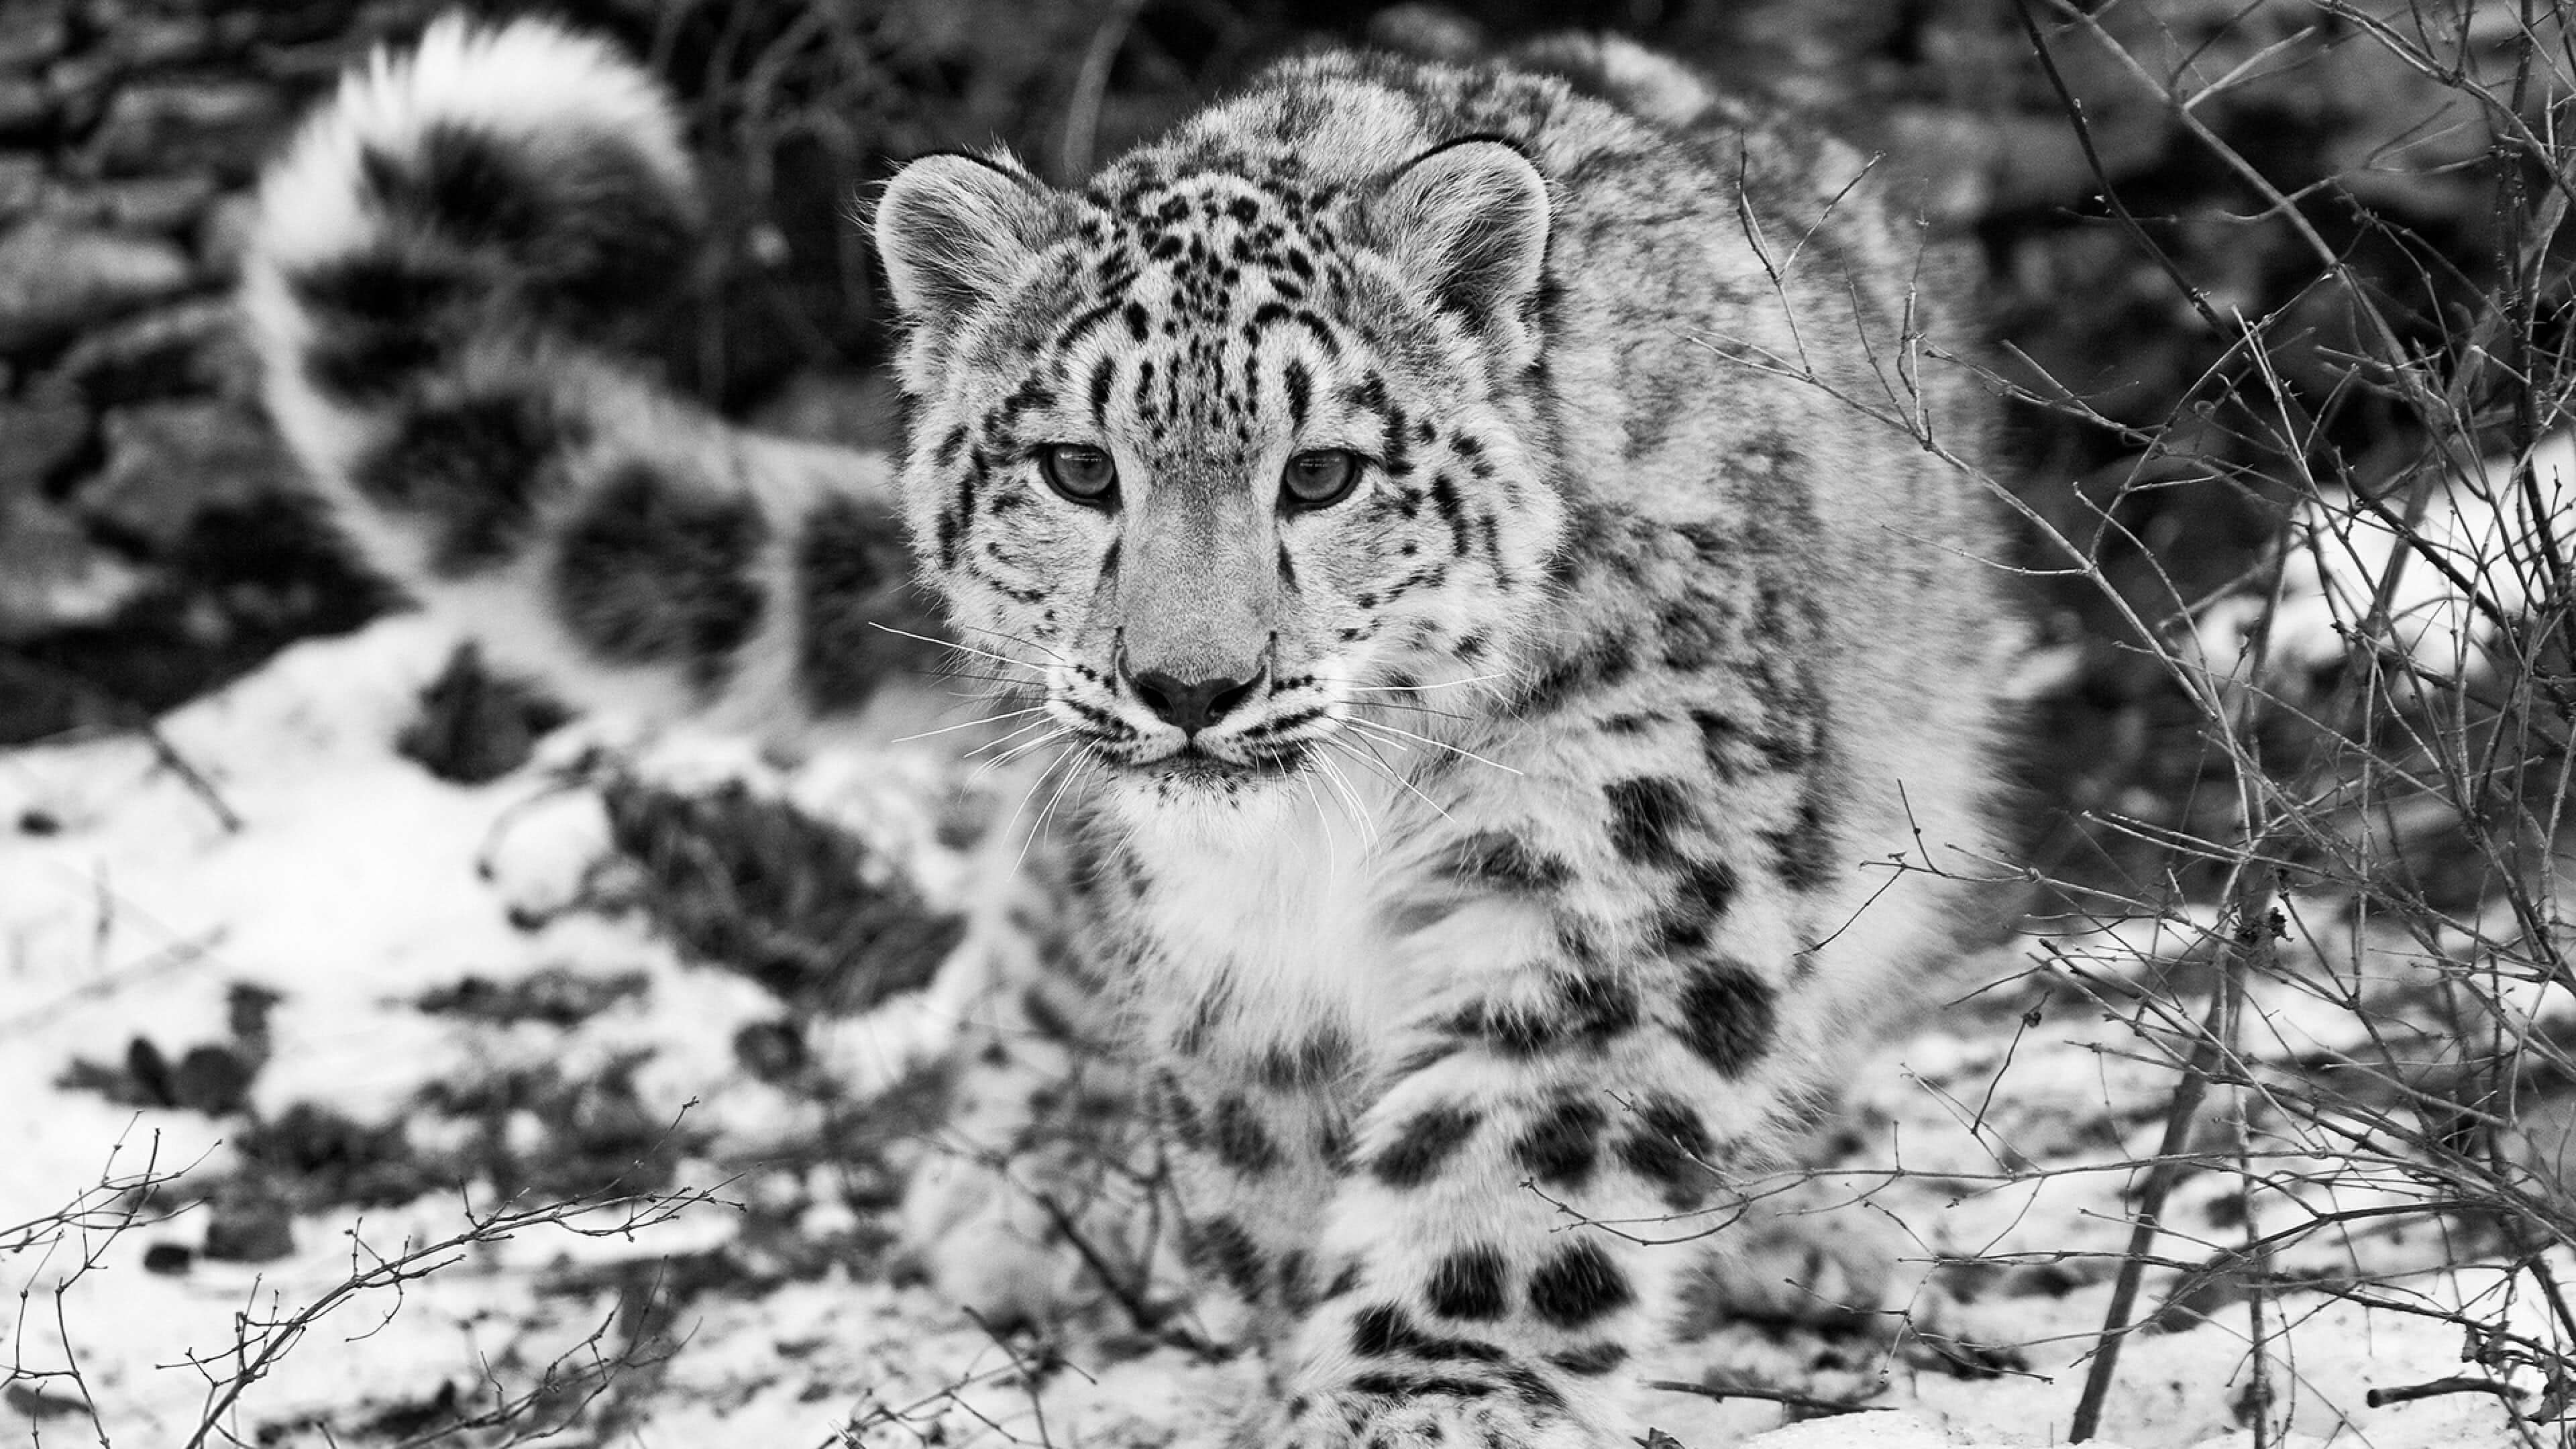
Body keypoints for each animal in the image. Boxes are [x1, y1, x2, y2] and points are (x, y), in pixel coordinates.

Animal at [243, 14, 2011, 1447]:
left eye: (1324, 473)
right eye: (1079, 468)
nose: (1188, 686)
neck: (1329, 838)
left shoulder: (1603, 869)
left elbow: (1511, 1170)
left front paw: (1416, 1403)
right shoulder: (1235, 970)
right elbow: (1283, 1180)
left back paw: (1801, 1229)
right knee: (1038, 939)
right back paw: (1025, 1195)